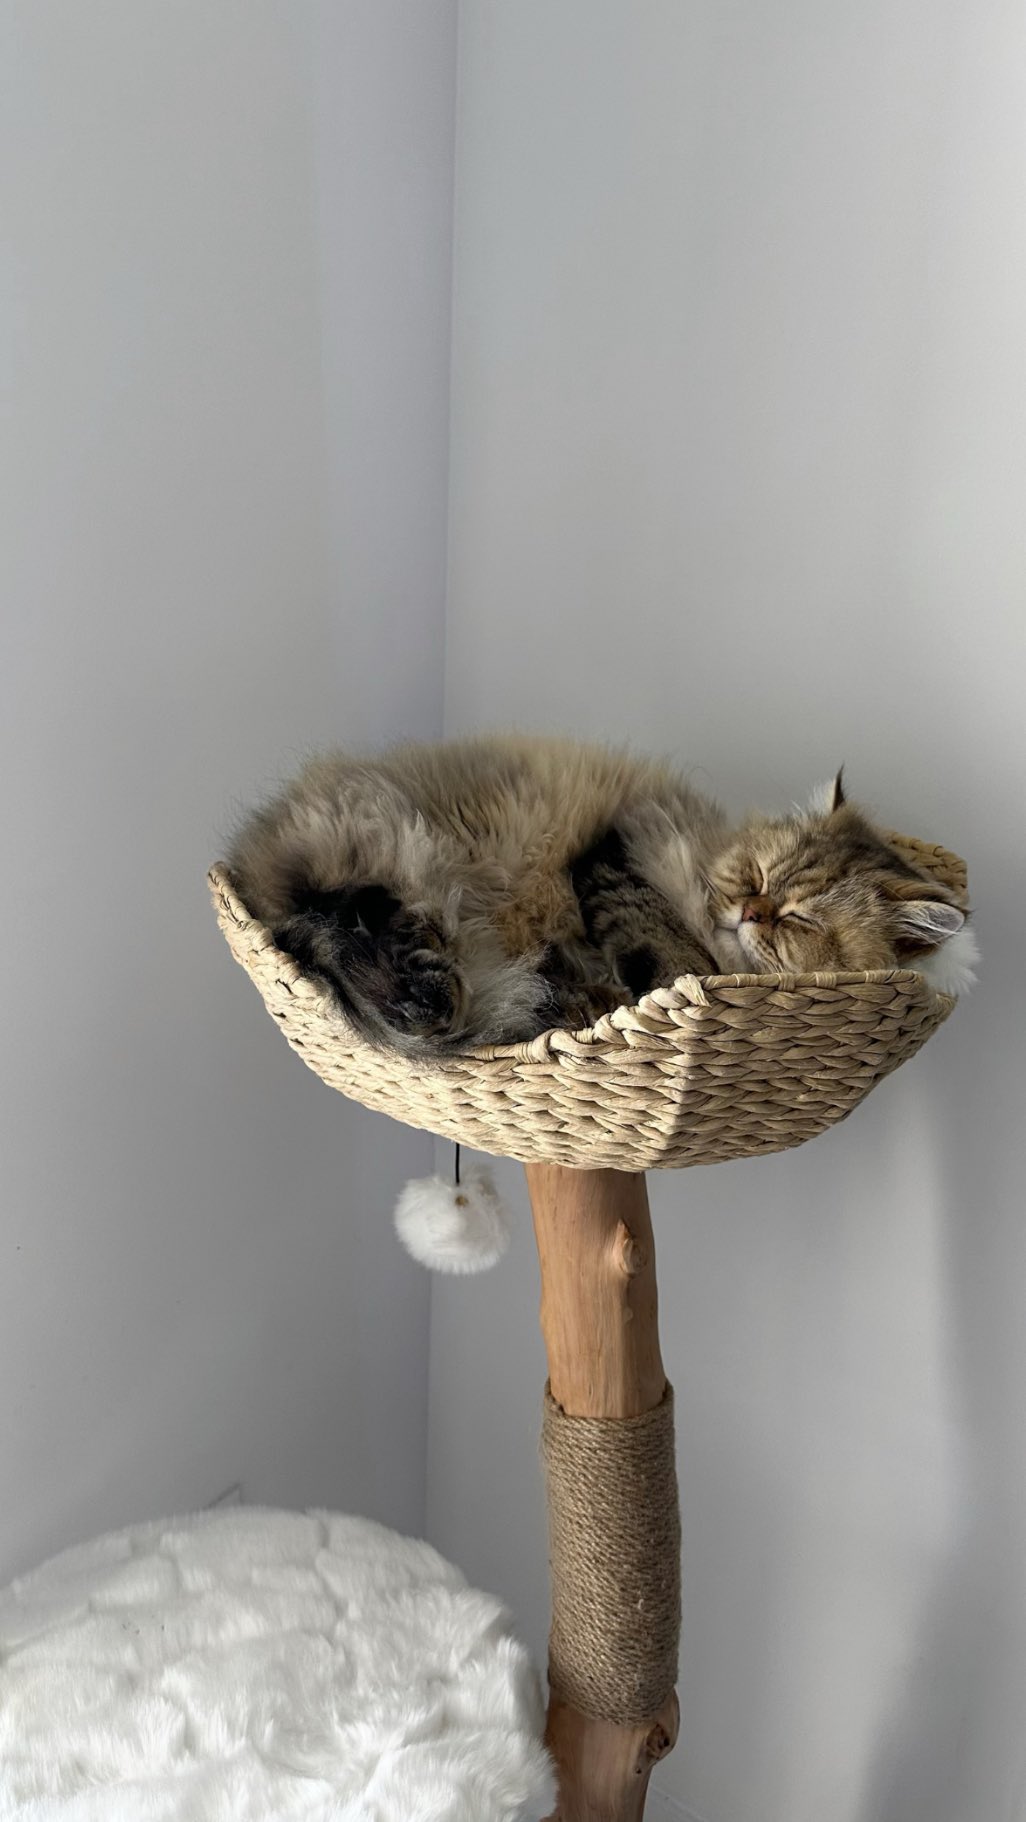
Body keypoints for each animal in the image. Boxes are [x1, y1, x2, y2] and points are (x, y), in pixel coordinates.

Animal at [225, 736, 976, 1054]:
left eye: (798, 920)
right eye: (758, 878)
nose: (749, 913)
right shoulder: (615, 856)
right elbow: (662, 952)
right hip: (408, 862)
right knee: (354, 923)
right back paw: (424, 995)